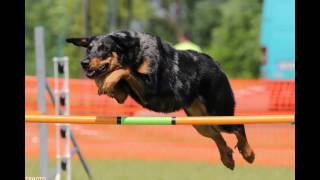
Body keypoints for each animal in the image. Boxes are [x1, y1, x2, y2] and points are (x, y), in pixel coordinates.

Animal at [67, 30, 255, 169]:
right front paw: (104, 83)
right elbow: (114, 77)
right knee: (217, 136)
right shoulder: (123, 95)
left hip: (220, 114)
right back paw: (227, 158)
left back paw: (248, 153)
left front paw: (107, 81)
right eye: (89, 48)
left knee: (239, 126)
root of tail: (217, 65)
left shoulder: (151, 85)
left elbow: (125, 70)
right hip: (200, 122)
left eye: (104, 48)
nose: (84, 62)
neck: (134, 52)